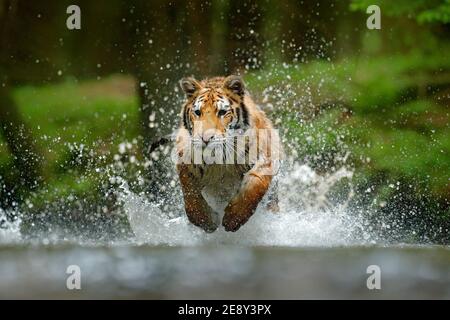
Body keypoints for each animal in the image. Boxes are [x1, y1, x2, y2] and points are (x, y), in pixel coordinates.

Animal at [177, 74, 280, 232]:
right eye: (198, 112)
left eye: (222, 112)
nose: (205, 138)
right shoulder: (185, 160)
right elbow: (191, 197)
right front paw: (207, 221)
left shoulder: (267, 157)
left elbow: (255, 186)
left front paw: (233, 219)